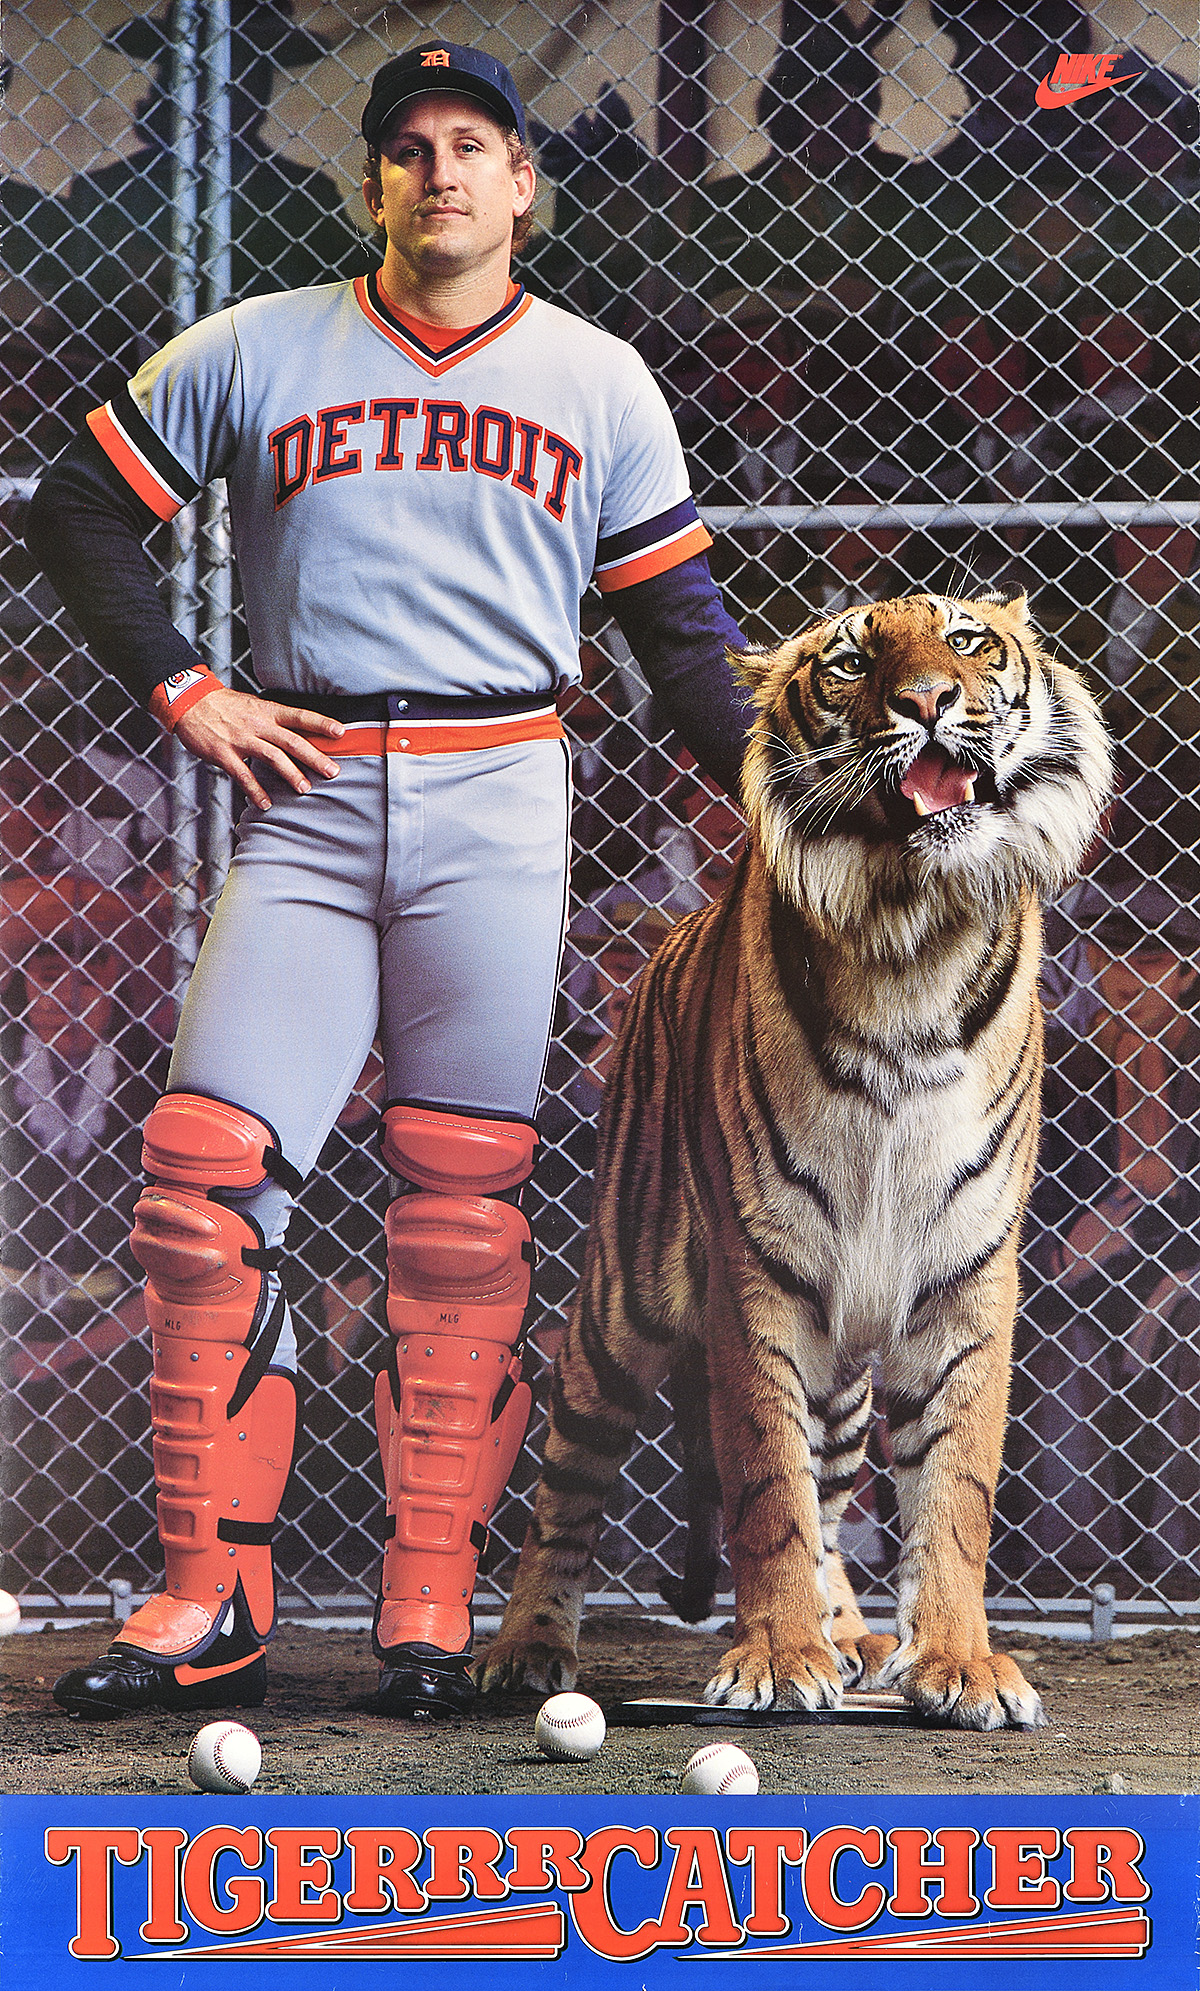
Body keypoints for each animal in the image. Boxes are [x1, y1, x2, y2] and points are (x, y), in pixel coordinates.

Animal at [479, 585, 1114, 1728]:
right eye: (854, 661)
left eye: (965, 641)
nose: (928, 700)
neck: (915, 937)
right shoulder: (755, 1273)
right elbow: (767, 1481)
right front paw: (776, 1658)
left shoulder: (966, 1273)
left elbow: (951, 1490)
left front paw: (957, 1662)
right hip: (621, 1307)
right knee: (569, 1480)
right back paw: (525, 1647)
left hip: (845, 1356)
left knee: (835, 1483)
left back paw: (853, 1634)